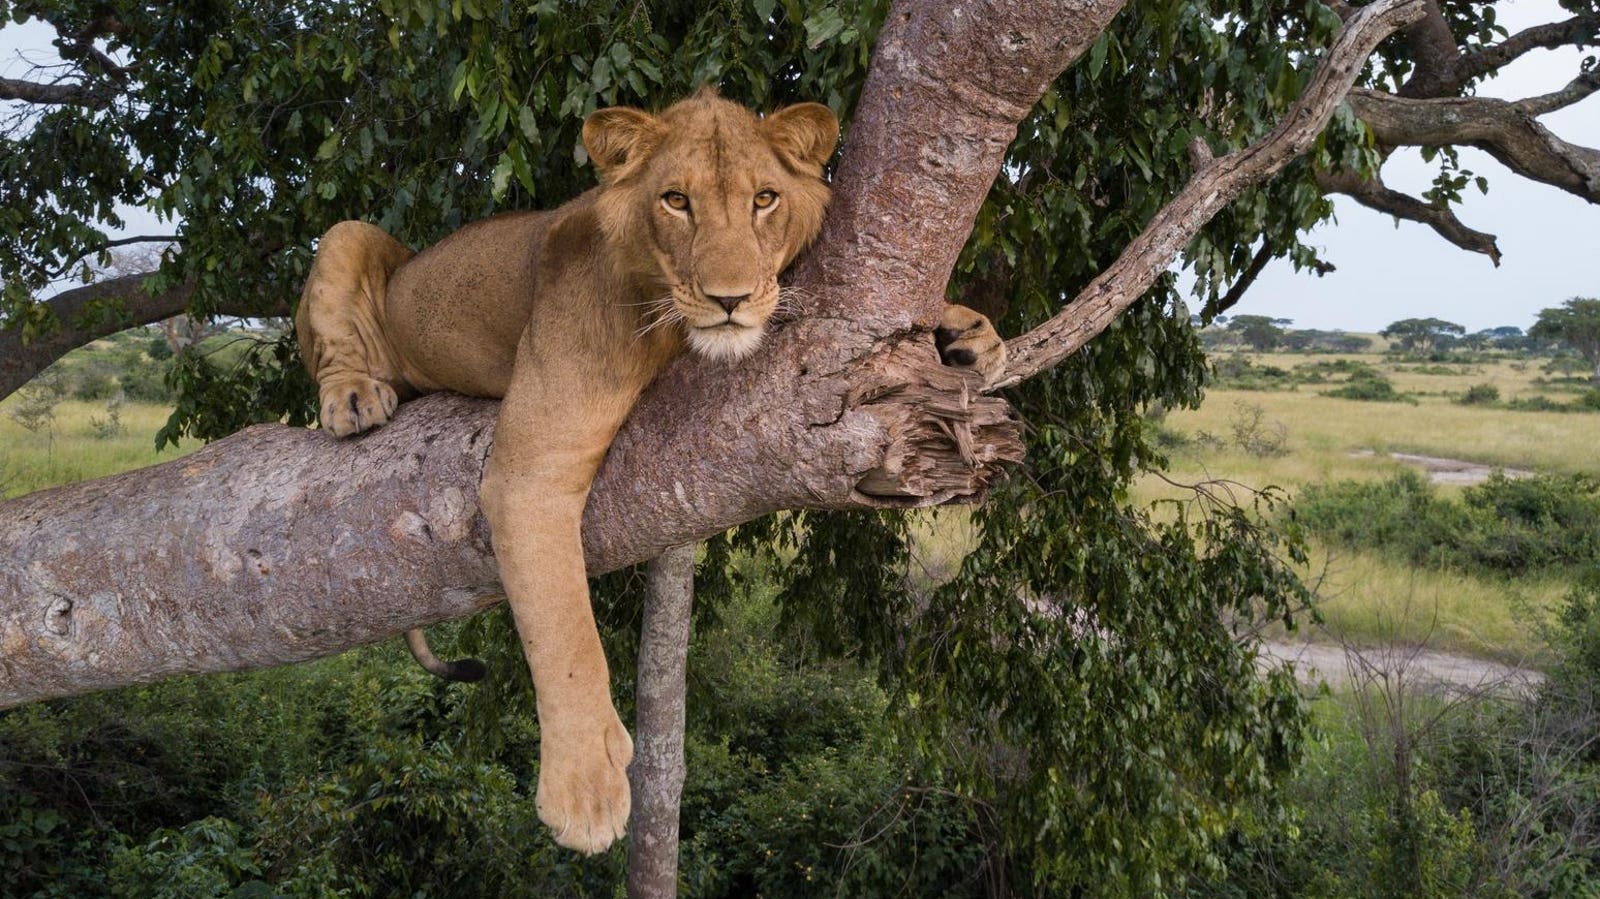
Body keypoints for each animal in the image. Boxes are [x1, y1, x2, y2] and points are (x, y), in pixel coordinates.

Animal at [294, 91, 1004, 851]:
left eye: (764, 199)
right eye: (675, 201)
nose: (730, 299)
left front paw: (968, 331)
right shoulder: (530, 473)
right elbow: (565, 628)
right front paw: (584, 786)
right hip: (347, 238)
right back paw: (355, 398)